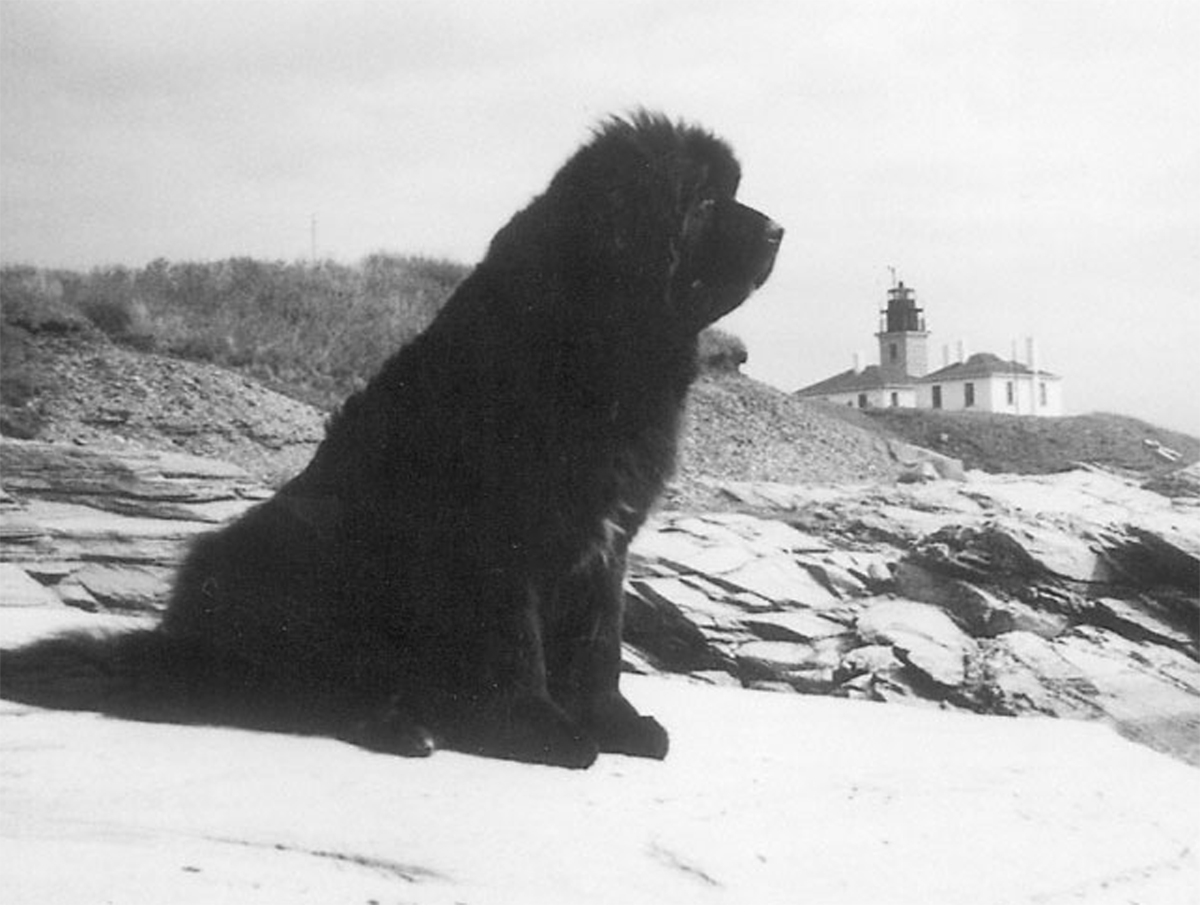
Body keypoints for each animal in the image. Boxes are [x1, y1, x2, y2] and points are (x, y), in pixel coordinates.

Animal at [0, 109, 782, 763]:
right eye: (703, 203)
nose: (778, 229)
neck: (591, 346)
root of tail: (173, 642)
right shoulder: (497, 544)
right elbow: (517, 650)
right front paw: (540, 730)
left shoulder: (605, 543)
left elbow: (599, 646)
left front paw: (617, 724)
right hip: (289, 576)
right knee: (287, 696)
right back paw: (400, 725)